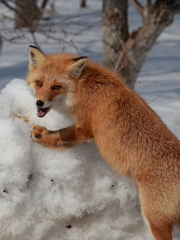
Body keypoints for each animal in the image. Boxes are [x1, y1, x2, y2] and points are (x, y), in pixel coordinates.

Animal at [27, 45, 180, 240]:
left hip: (154, 218)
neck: (81, 87)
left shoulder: (84, 128)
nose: (40, 102)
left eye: (56, 87)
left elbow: (60, 135)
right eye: (39, 83)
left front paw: (42, 136)